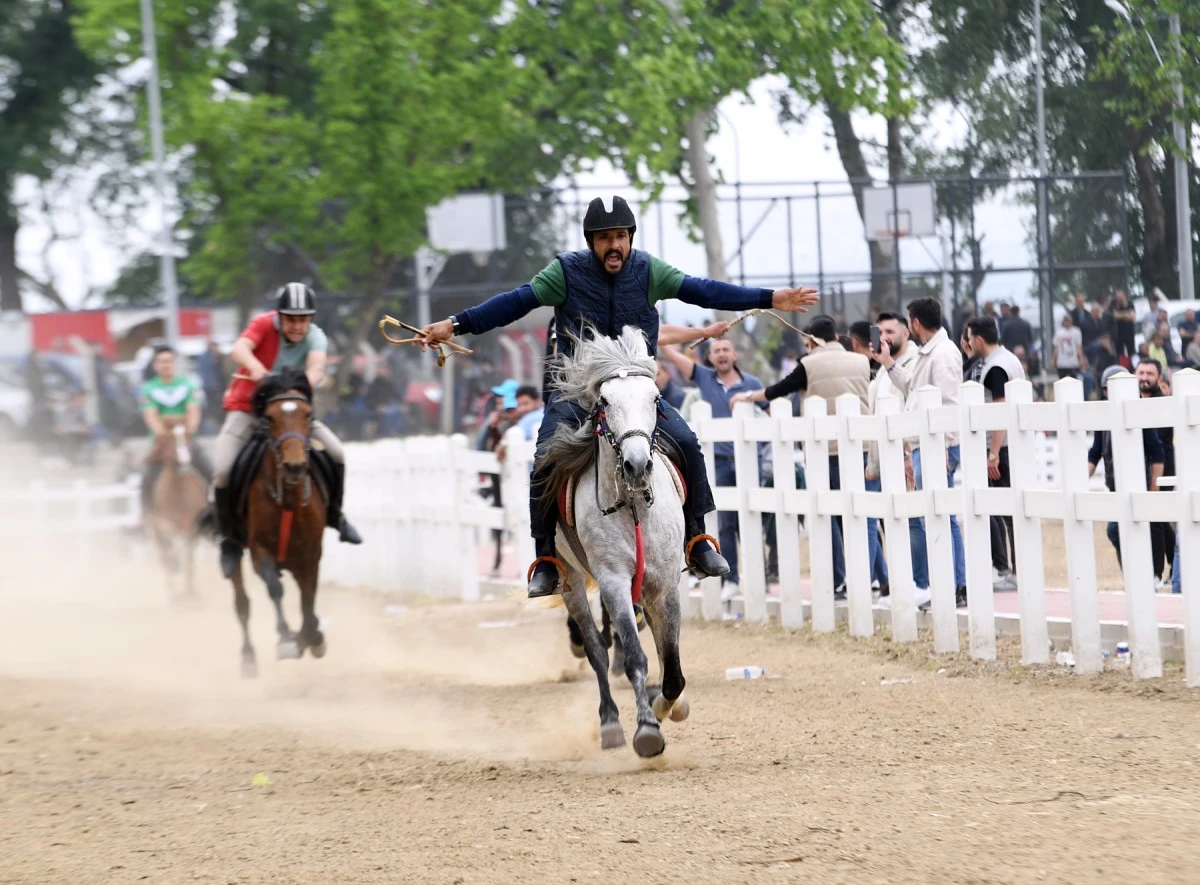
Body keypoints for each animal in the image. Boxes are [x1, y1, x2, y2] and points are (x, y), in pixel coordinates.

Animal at [148, 414, 210, 597]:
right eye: (167, 439)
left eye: (188, 436)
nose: (184, 464)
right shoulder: (163, 524)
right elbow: (171, 550)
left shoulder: (192, 527)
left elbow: (188, 557)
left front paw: (190, 592)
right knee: (164, 551)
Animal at [231, 366, 326, 676]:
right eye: (269, 418)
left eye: (307, 415)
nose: (295, 466)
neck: (288, 501)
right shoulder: (260, 550)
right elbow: (275, 588)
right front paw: (287, 640)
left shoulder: (311, 553)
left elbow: (309, 596)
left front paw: (311, 637)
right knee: (242, 603)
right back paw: (248, 657)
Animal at [542, 328, 691, 753]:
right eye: (605, 401)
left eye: (656, 398)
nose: (637, 465)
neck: (634, 504)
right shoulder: (613, 582)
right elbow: (635, 657)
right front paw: (647, 728)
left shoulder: (664, 584)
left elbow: (672, 664)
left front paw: (668, 704)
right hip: (571, 580)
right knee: (595, 649)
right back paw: (609, 722)